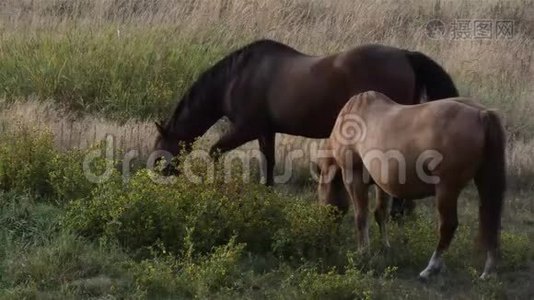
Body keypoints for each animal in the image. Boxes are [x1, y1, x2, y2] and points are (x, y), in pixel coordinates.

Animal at [155, 39, 460, 218]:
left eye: (159, 147)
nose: (158, 173)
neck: (236, 77)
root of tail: (406, 56)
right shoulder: (266, 130)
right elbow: (269, 162)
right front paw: (267, 195)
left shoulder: (245, 128)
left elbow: (216, 152)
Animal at [318, 90, 506, 280]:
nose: (326, 237)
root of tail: (482, 114)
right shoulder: (381, 184)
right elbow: (380, 213)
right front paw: (385, 247)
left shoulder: (354, 177)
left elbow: (361, 216)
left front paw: (363, 253)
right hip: (483, 183)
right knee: (491, 222)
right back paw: (488, 271)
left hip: (447, 189)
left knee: (448, 225)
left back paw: (430, 268)